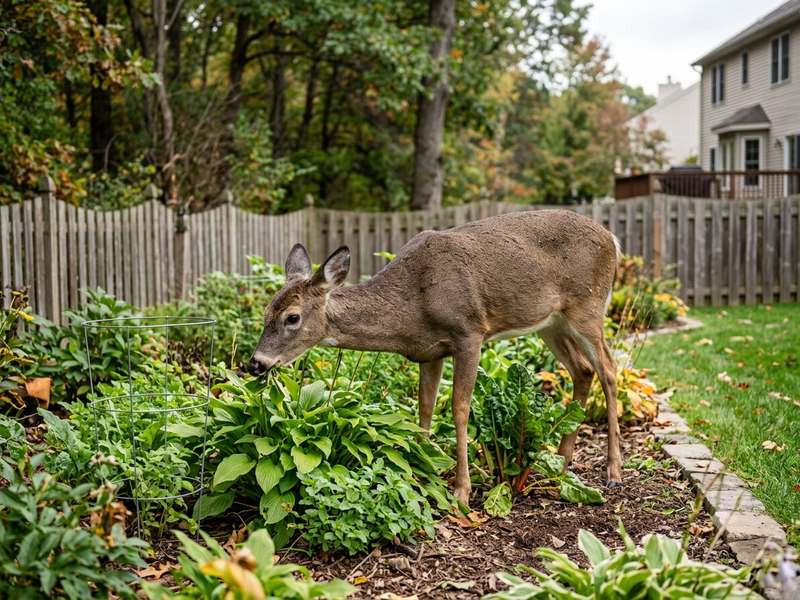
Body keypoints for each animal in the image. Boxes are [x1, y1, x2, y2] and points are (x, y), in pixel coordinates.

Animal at [248, 209, 622, 506]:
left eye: (292, 317)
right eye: (265, 312)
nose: (256, 363)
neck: (414, 305)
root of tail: (613, 238)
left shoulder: (469, 333)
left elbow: (459, 408)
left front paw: (461, 491)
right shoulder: (428, 351)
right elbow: (424, 408)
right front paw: (420, 471)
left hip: (588, 305)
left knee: (609, 368)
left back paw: (613, 470)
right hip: (551, 321)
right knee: (583, 369)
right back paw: (561, 462)